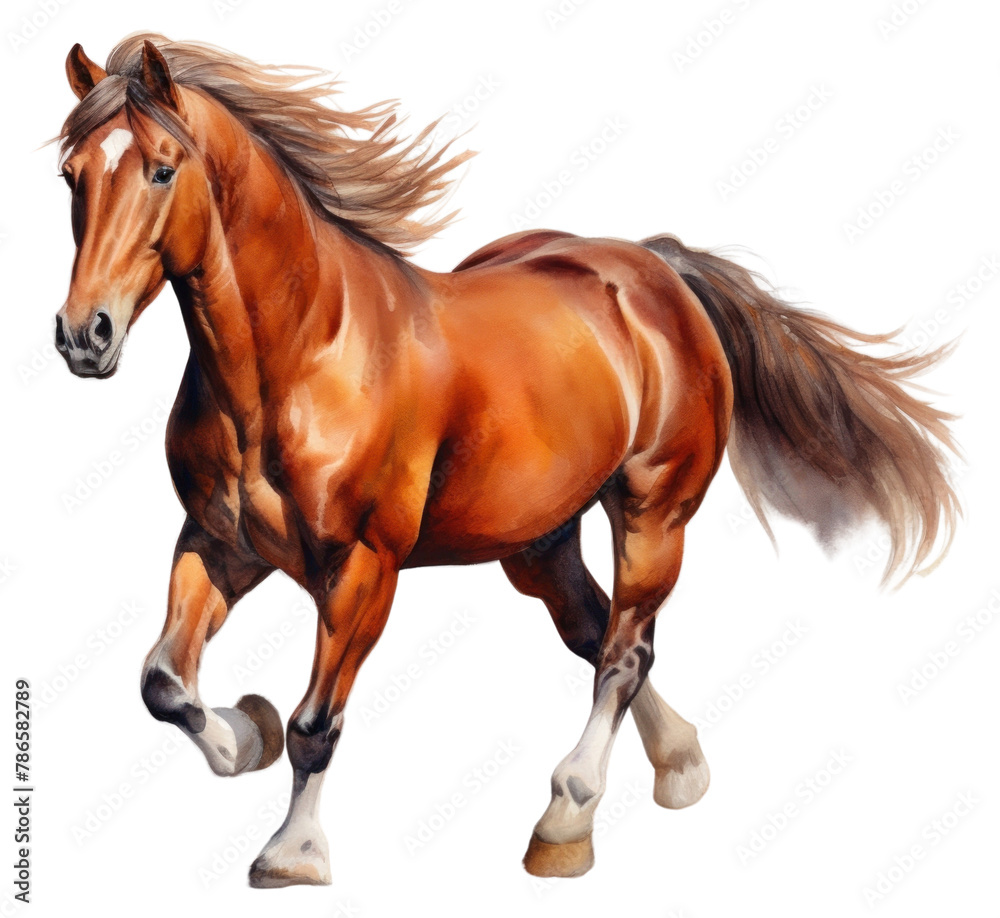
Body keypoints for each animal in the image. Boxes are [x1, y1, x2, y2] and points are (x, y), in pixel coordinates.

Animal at [53, 33, 959, 888]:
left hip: (653, 514)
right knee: (597, 631)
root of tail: (657, 267)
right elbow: (164, 684)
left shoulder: (361, 569)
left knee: (624, 654)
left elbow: (316, 724)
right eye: (71, 175)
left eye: (162, 169)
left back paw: (566, 823)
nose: (83, 335)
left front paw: (293, 853)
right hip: (538, 542)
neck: (300, 358)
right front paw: (248, 734)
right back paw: (681, 765)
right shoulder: (218, 544)